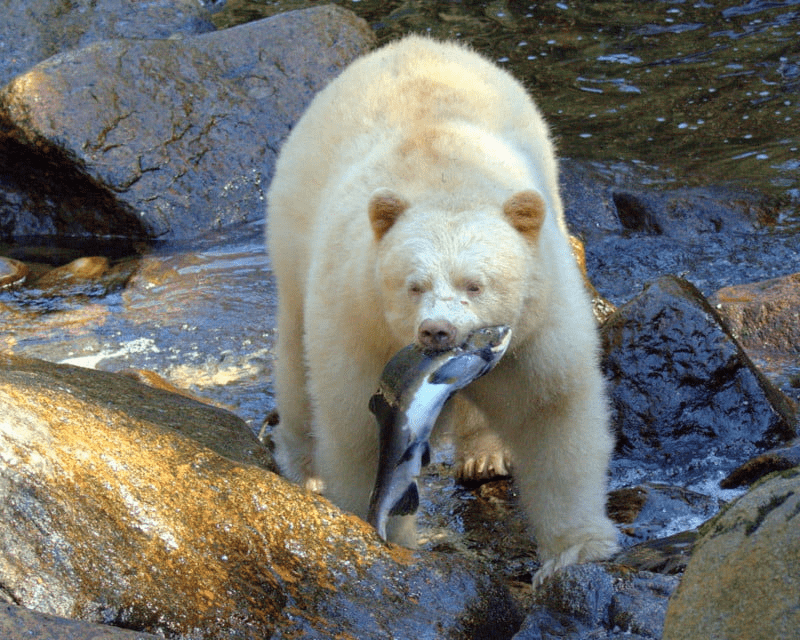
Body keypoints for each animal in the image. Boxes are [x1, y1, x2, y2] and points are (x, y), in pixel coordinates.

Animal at [268, 36, 620, 584]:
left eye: (475, 285)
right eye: (414, 286)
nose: (438, 332)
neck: (448, 179)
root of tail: (412, 44)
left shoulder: (537, 321)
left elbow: (553, 413)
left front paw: (579, 548)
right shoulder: (359, 320)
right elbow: (358, 430)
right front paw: (382, 533)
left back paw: (484, 456)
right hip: (295, 226)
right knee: (294, 357)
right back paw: (302, 469)